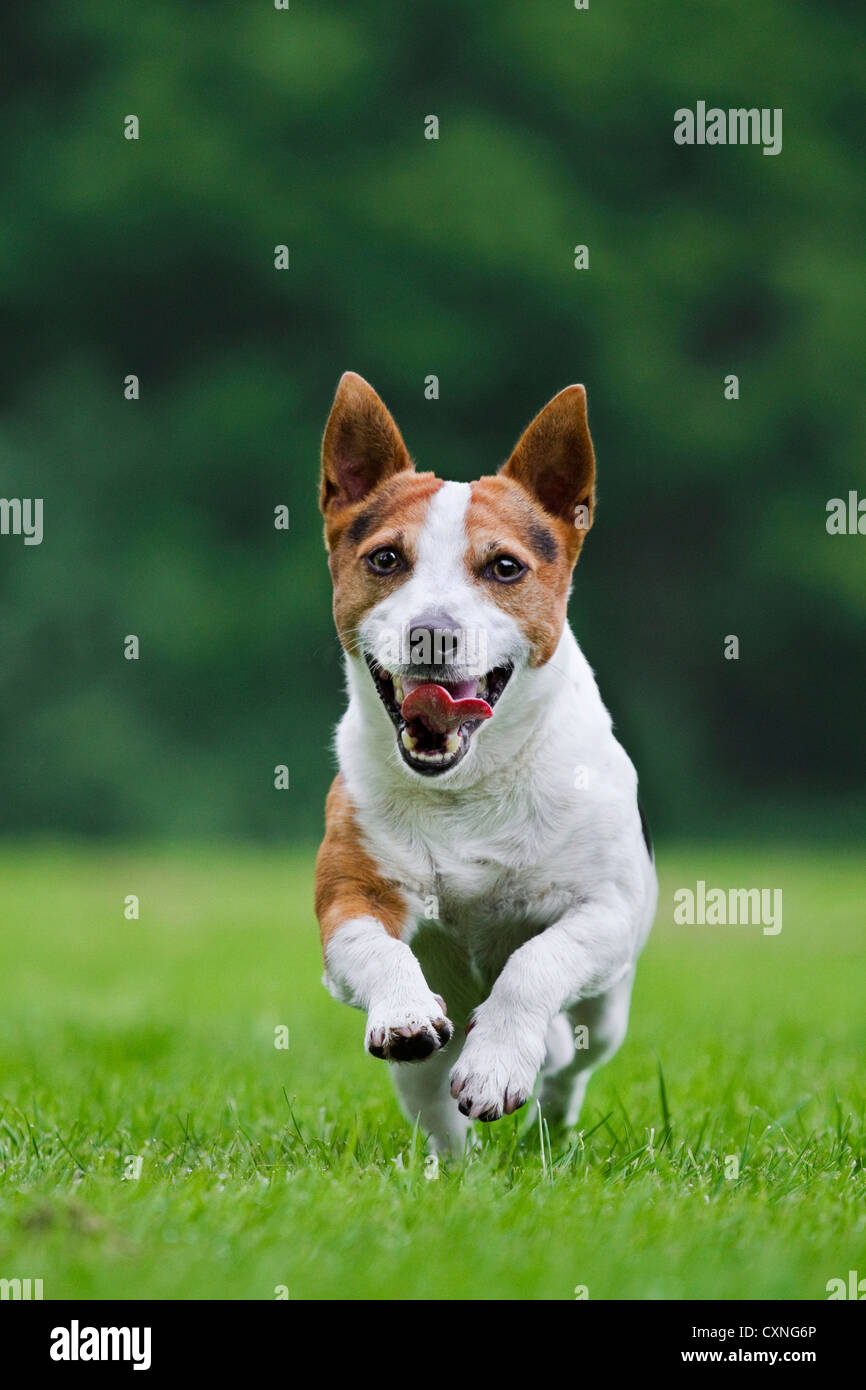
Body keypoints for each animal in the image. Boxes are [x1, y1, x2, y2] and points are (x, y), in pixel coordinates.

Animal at [316, 372, 656, 1150]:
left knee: (572, 1060)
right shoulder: (349, 894)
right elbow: (375, 948)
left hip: (608, 1007)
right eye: (386, 559)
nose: (432, 633)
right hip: (420, 1077)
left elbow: (535, 962)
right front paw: (406, 1013)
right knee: (437, 1109)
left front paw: (499, 1064)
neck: (465, 788)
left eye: (504, 567)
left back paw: (547, 1114)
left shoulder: (606, 909)